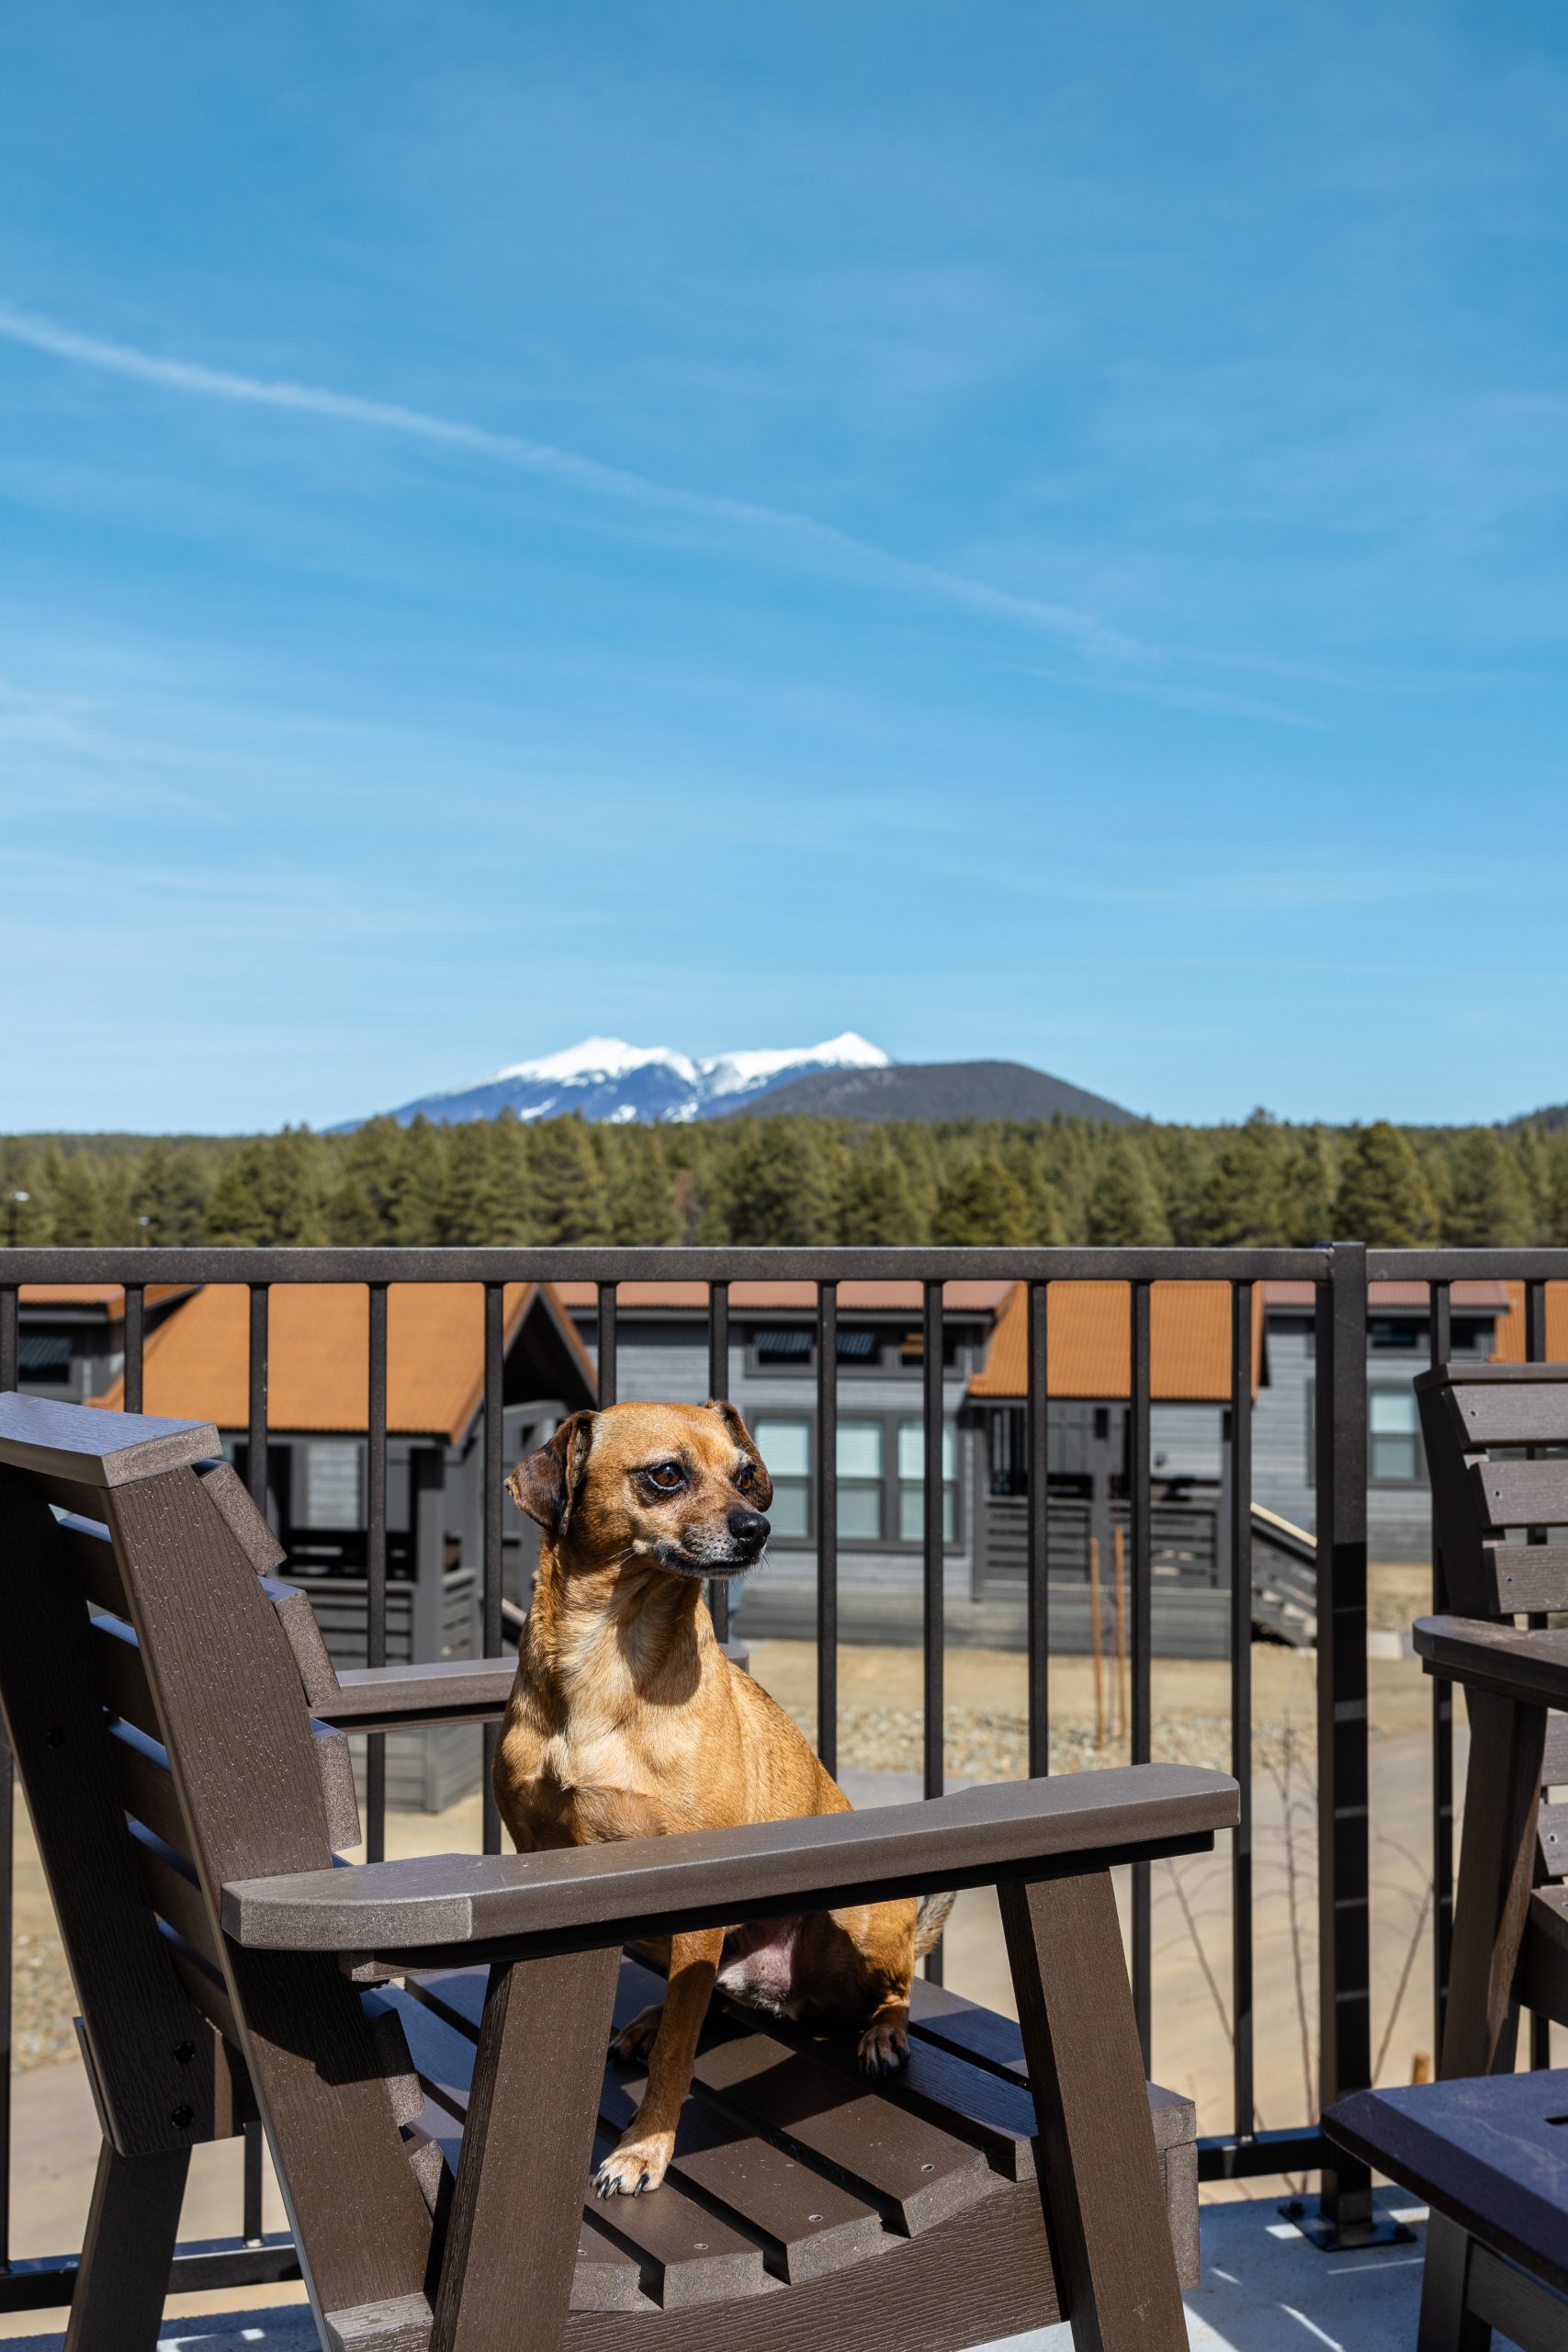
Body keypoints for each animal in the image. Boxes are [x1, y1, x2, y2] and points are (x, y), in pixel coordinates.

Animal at [495, 1401, 949, 2191]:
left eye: (746, 1476)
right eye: (665, 1475)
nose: (756, 1527)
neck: (606, 1656)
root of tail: (787, 1994)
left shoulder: (691, 1903)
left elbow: (679, 2054)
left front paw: (645, 2146)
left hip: (860, 1922)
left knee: (896, 1986)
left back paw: (882, 2034)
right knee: (708, 2003)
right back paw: (650, 2021)